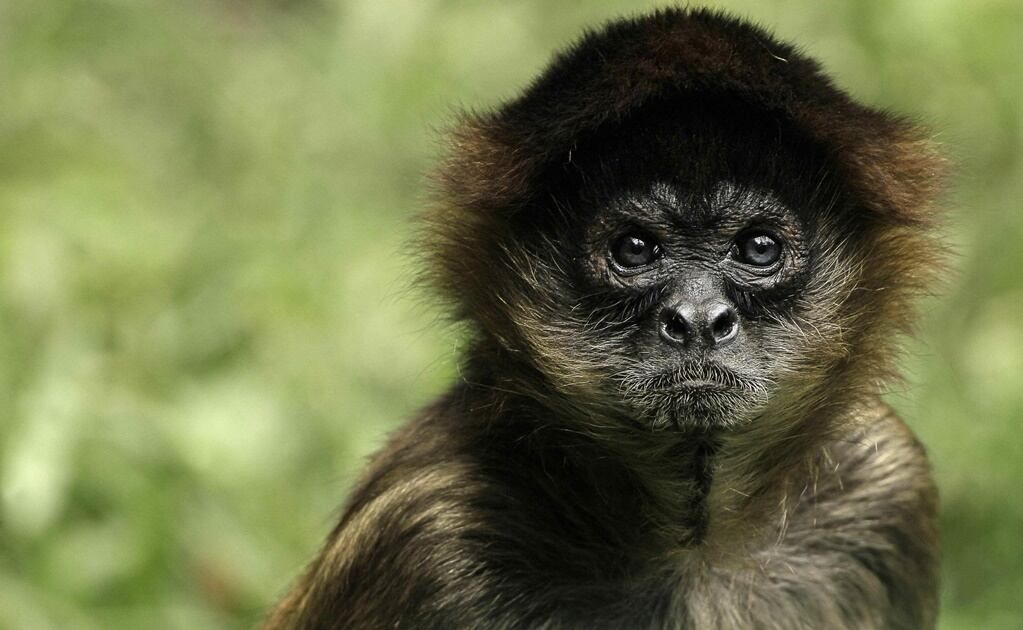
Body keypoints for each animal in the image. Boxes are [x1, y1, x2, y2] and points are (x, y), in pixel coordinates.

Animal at [264, 8, 945, 630]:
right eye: (635, 249)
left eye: (757, 248)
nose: (698, 320)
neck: (691, 550)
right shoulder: (424, 530)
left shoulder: (883, 479)